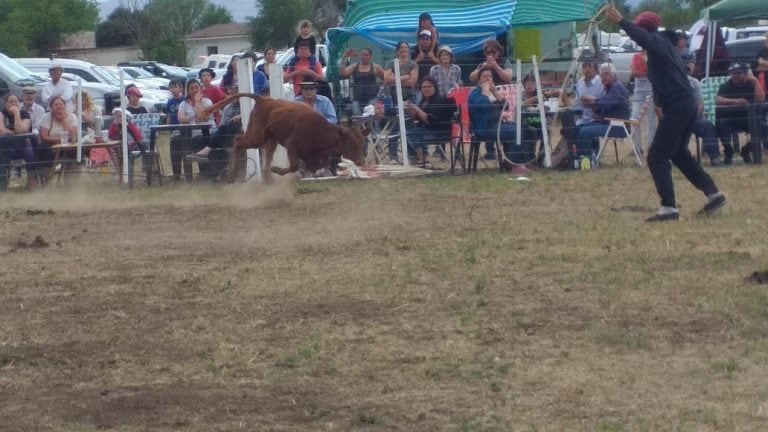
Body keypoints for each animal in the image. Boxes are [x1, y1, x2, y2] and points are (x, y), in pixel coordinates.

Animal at [201, 93, 368, 181]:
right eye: (350, 142)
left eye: (362, 141)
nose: (361, 161)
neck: (320, 130)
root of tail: (263, 99)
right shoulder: (291, 144)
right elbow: (294, 166)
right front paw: (277, 169)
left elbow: (320, 163)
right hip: (258, 137)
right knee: (238, 142)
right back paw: (233, 175)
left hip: (271, 139)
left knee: (266, 154)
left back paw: (266, 177)